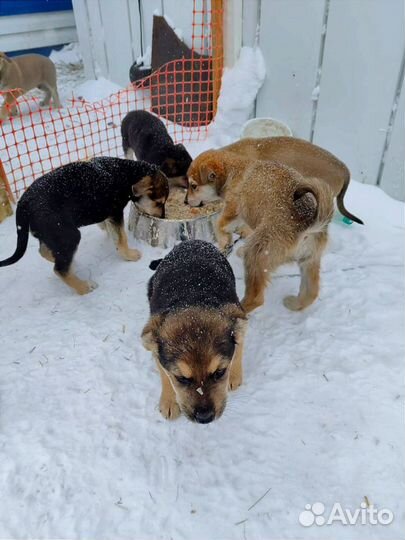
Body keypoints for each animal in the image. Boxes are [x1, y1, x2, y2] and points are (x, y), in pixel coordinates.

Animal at [0, 156, 168, 296]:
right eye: (159, 202)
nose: (162, 217)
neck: (126, 174)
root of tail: (23, 203)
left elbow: (109, 229)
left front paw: (106, 231)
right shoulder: (115, 212)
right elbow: (121, 238)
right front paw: (129, 255)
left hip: (51, 232)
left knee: (45, 252)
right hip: (68, 234)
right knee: (59, 270)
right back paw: (84, 287)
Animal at [141, 239, 246, 422]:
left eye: (220, 372)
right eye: (181, 378)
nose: (205, 418)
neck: (191, 298)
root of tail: (192, 241)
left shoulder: (237, 316)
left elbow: (238, 349)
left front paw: (234, 375)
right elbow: (164, 375)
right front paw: (168, 401)